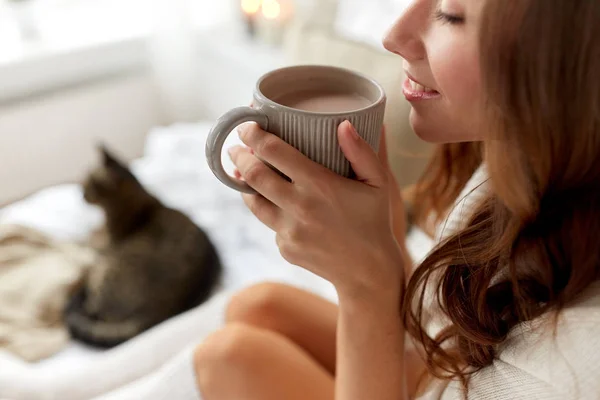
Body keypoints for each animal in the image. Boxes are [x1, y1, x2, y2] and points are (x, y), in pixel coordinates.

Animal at [64, 146, 223, 346]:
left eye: (90, 181)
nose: (81, 192)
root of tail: (153, 317)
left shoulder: (105, 243)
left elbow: (87, 239)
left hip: (105, 268)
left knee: (90, 305)